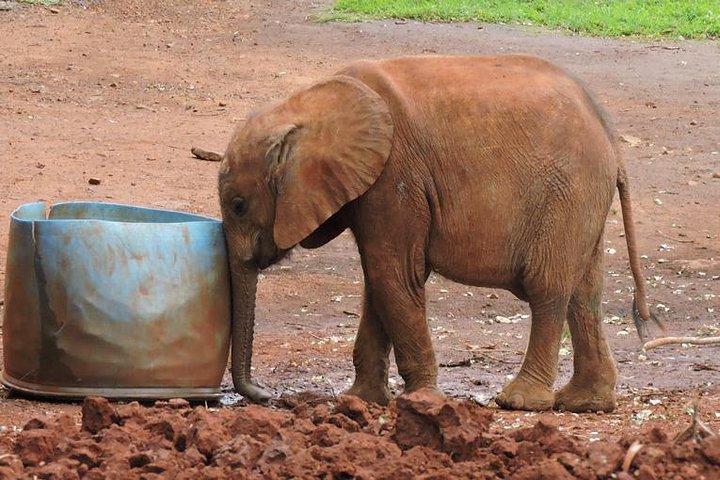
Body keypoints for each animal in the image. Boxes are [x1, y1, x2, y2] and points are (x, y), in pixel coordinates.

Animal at [216, 55, 661, 412]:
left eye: (238, 205)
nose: (266, 396)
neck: (307, 105)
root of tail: (610, 134)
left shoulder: (395, 175)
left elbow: (394, 275)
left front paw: (422, 401)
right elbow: (379, 282)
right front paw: (360, 400)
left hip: (566, 191)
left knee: (548, 288)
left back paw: (520, 401)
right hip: (582, 199)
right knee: (585, 292)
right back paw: (585, 403)